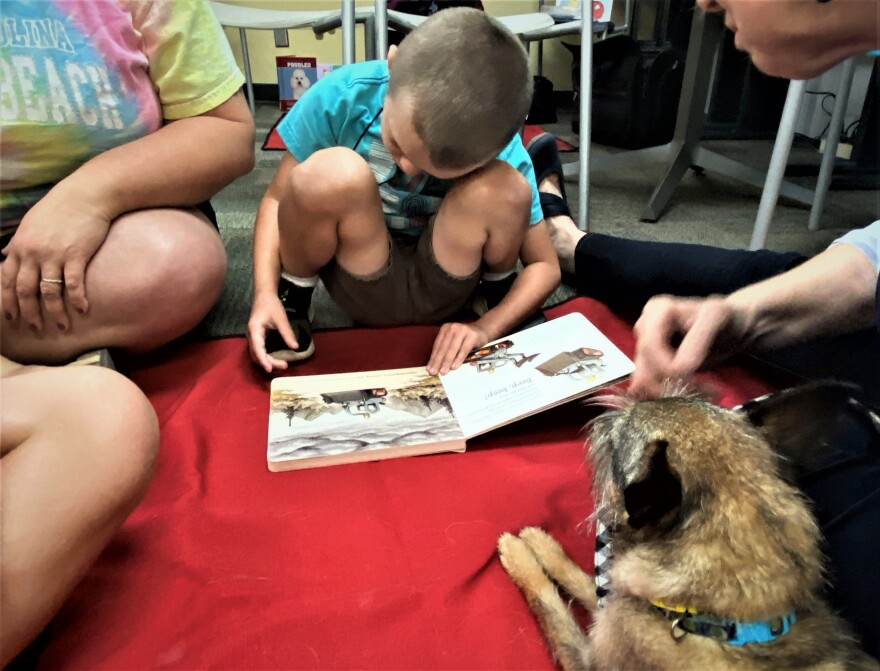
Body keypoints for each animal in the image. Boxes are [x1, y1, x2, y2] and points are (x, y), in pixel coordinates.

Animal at [498, 384, 876, 671]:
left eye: (614, 444)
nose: (632, 394)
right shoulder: (626, 602)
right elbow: (587, 581)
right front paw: (542, 545)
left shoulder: (593, 654)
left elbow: (553, 609)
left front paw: (520, 556)